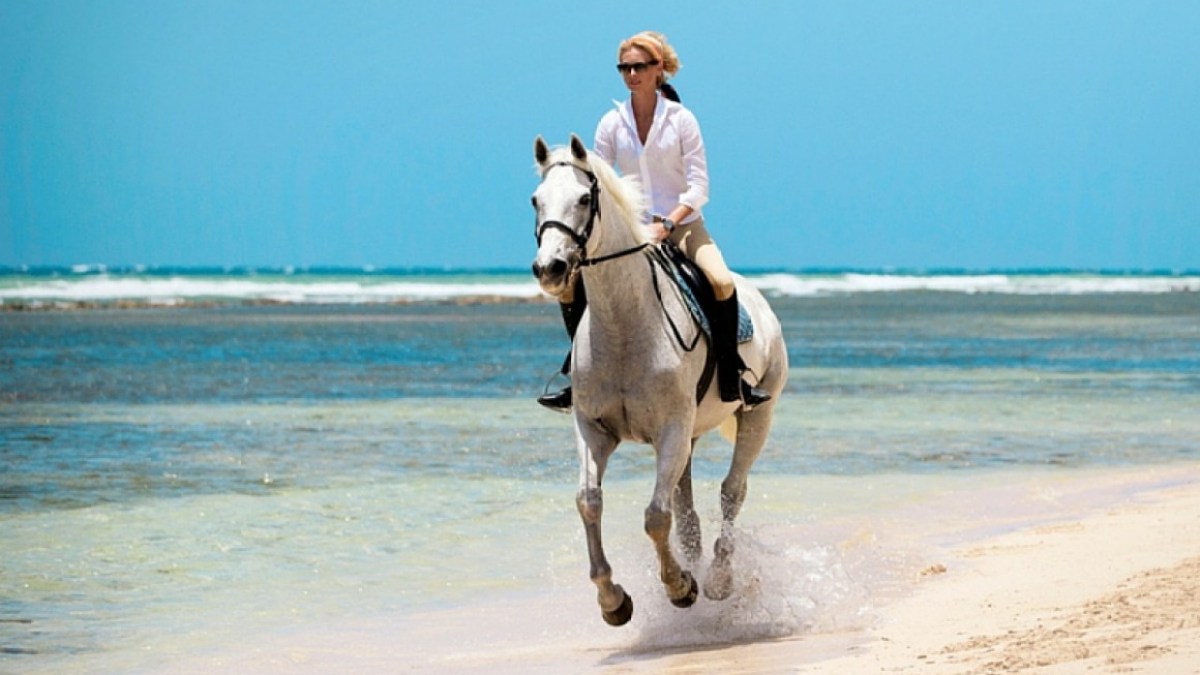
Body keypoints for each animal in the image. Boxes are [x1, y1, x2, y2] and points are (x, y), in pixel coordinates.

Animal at [532, 133, 787, 624]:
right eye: (536, 200)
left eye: (585, 198)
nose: (549, 269)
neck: (625, 324)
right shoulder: (593, 430)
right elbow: (589, 501)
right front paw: (613, 600)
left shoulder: (670, 429)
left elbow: (654, 516)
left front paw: (680, 587)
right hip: (690, 435)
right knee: (686, 509)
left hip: (755, 417)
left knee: (732, 492)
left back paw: (718, 580)